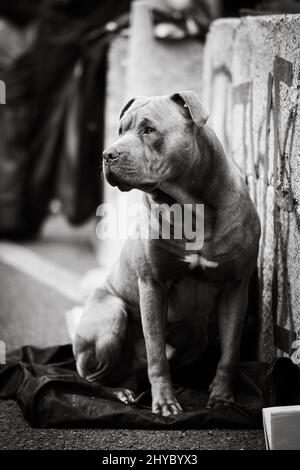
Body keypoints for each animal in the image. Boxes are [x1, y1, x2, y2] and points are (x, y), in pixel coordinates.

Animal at [74, 91, 262, 414]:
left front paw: (222, 397)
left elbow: (230, 351)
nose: (107, 154)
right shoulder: (152, 285)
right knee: (91, 376)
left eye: (149, 129)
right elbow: (156, 354)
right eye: (120, 130)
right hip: (111, 316)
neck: (191, 207)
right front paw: (165, 403)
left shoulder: (236, 288)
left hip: (194, 338)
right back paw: (120, 393)